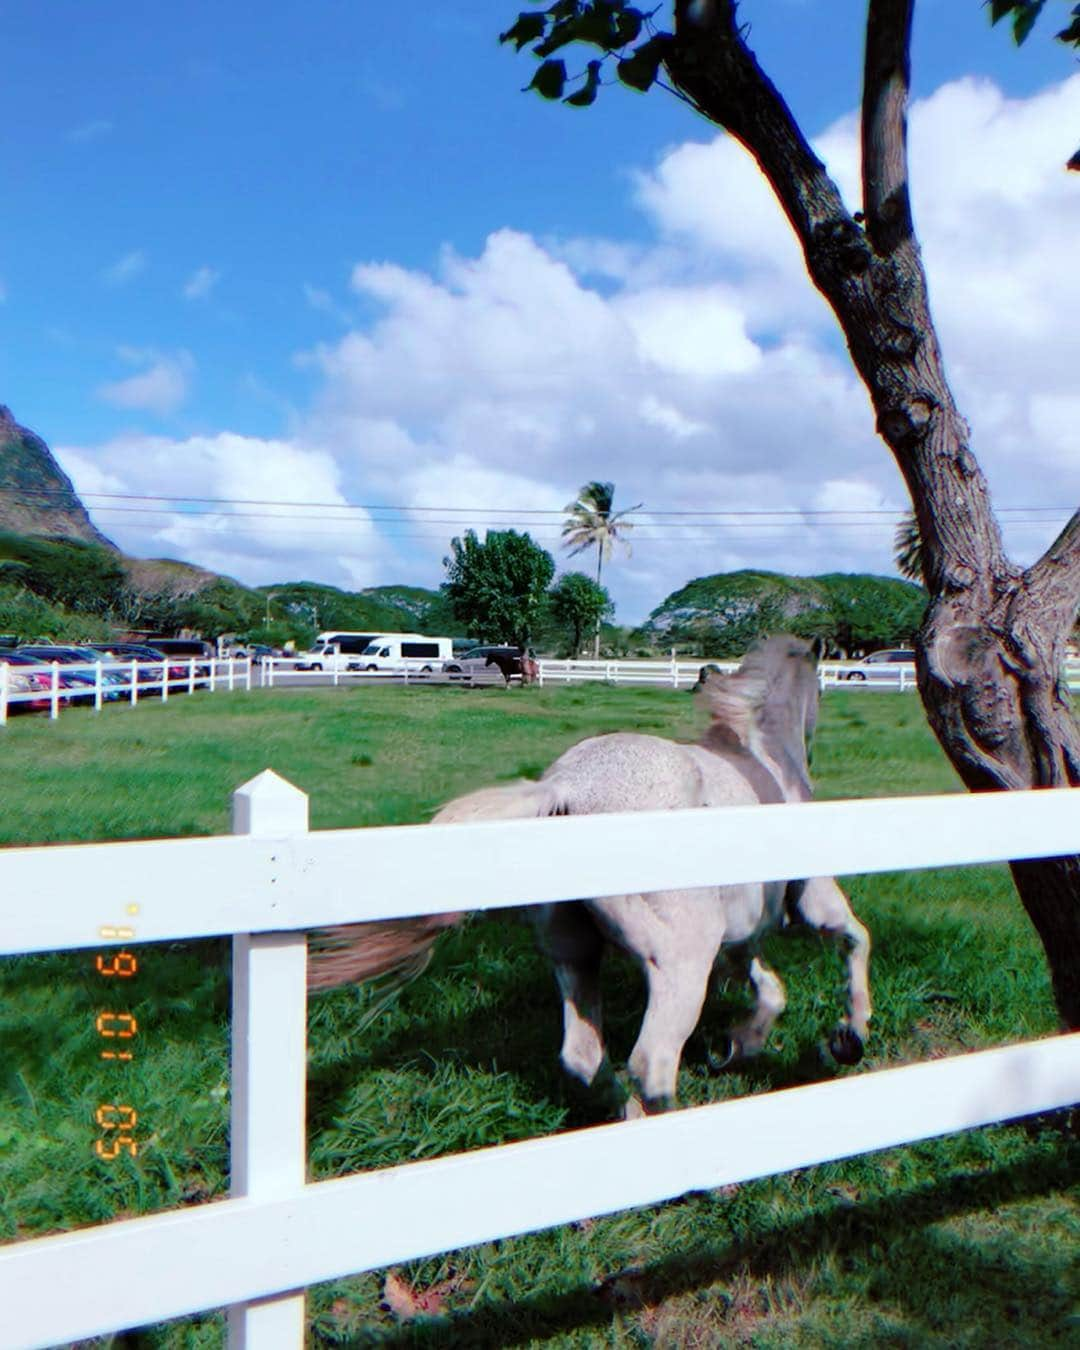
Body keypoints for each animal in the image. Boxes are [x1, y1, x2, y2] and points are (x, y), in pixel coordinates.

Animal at [306, 631, 869, 1117]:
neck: (765, 756)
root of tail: (568, 788)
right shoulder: (813, 905)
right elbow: (854, 940)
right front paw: (849, 1037)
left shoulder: (739, 940)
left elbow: (770, 991)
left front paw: (738, 1046)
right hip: (680, 965)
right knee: (651, 1067)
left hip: (575, 956)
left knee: (583, 1057)